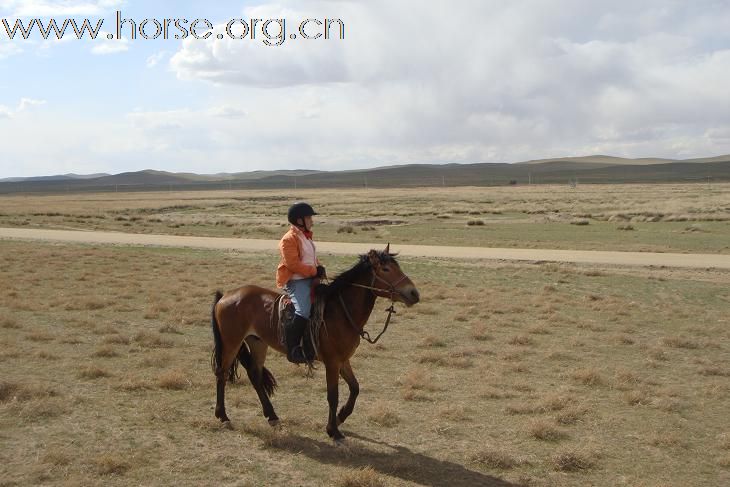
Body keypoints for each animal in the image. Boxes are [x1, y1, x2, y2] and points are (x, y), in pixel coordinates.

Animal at [208, 246, 418, 440]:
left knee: (255, 375)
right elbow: (333, 395)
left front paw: (340, 417)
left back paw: (272, 416)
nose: (414, 293)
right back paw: (223, 416)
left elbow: (355, 388)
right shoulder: (332, 363)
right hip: (231, 343)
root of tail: (225, 295)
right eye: (385, 269)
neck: (340, 312)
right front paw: (333, 430)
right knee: (222, 373)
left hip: (258, 343)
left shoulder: (343, 360)